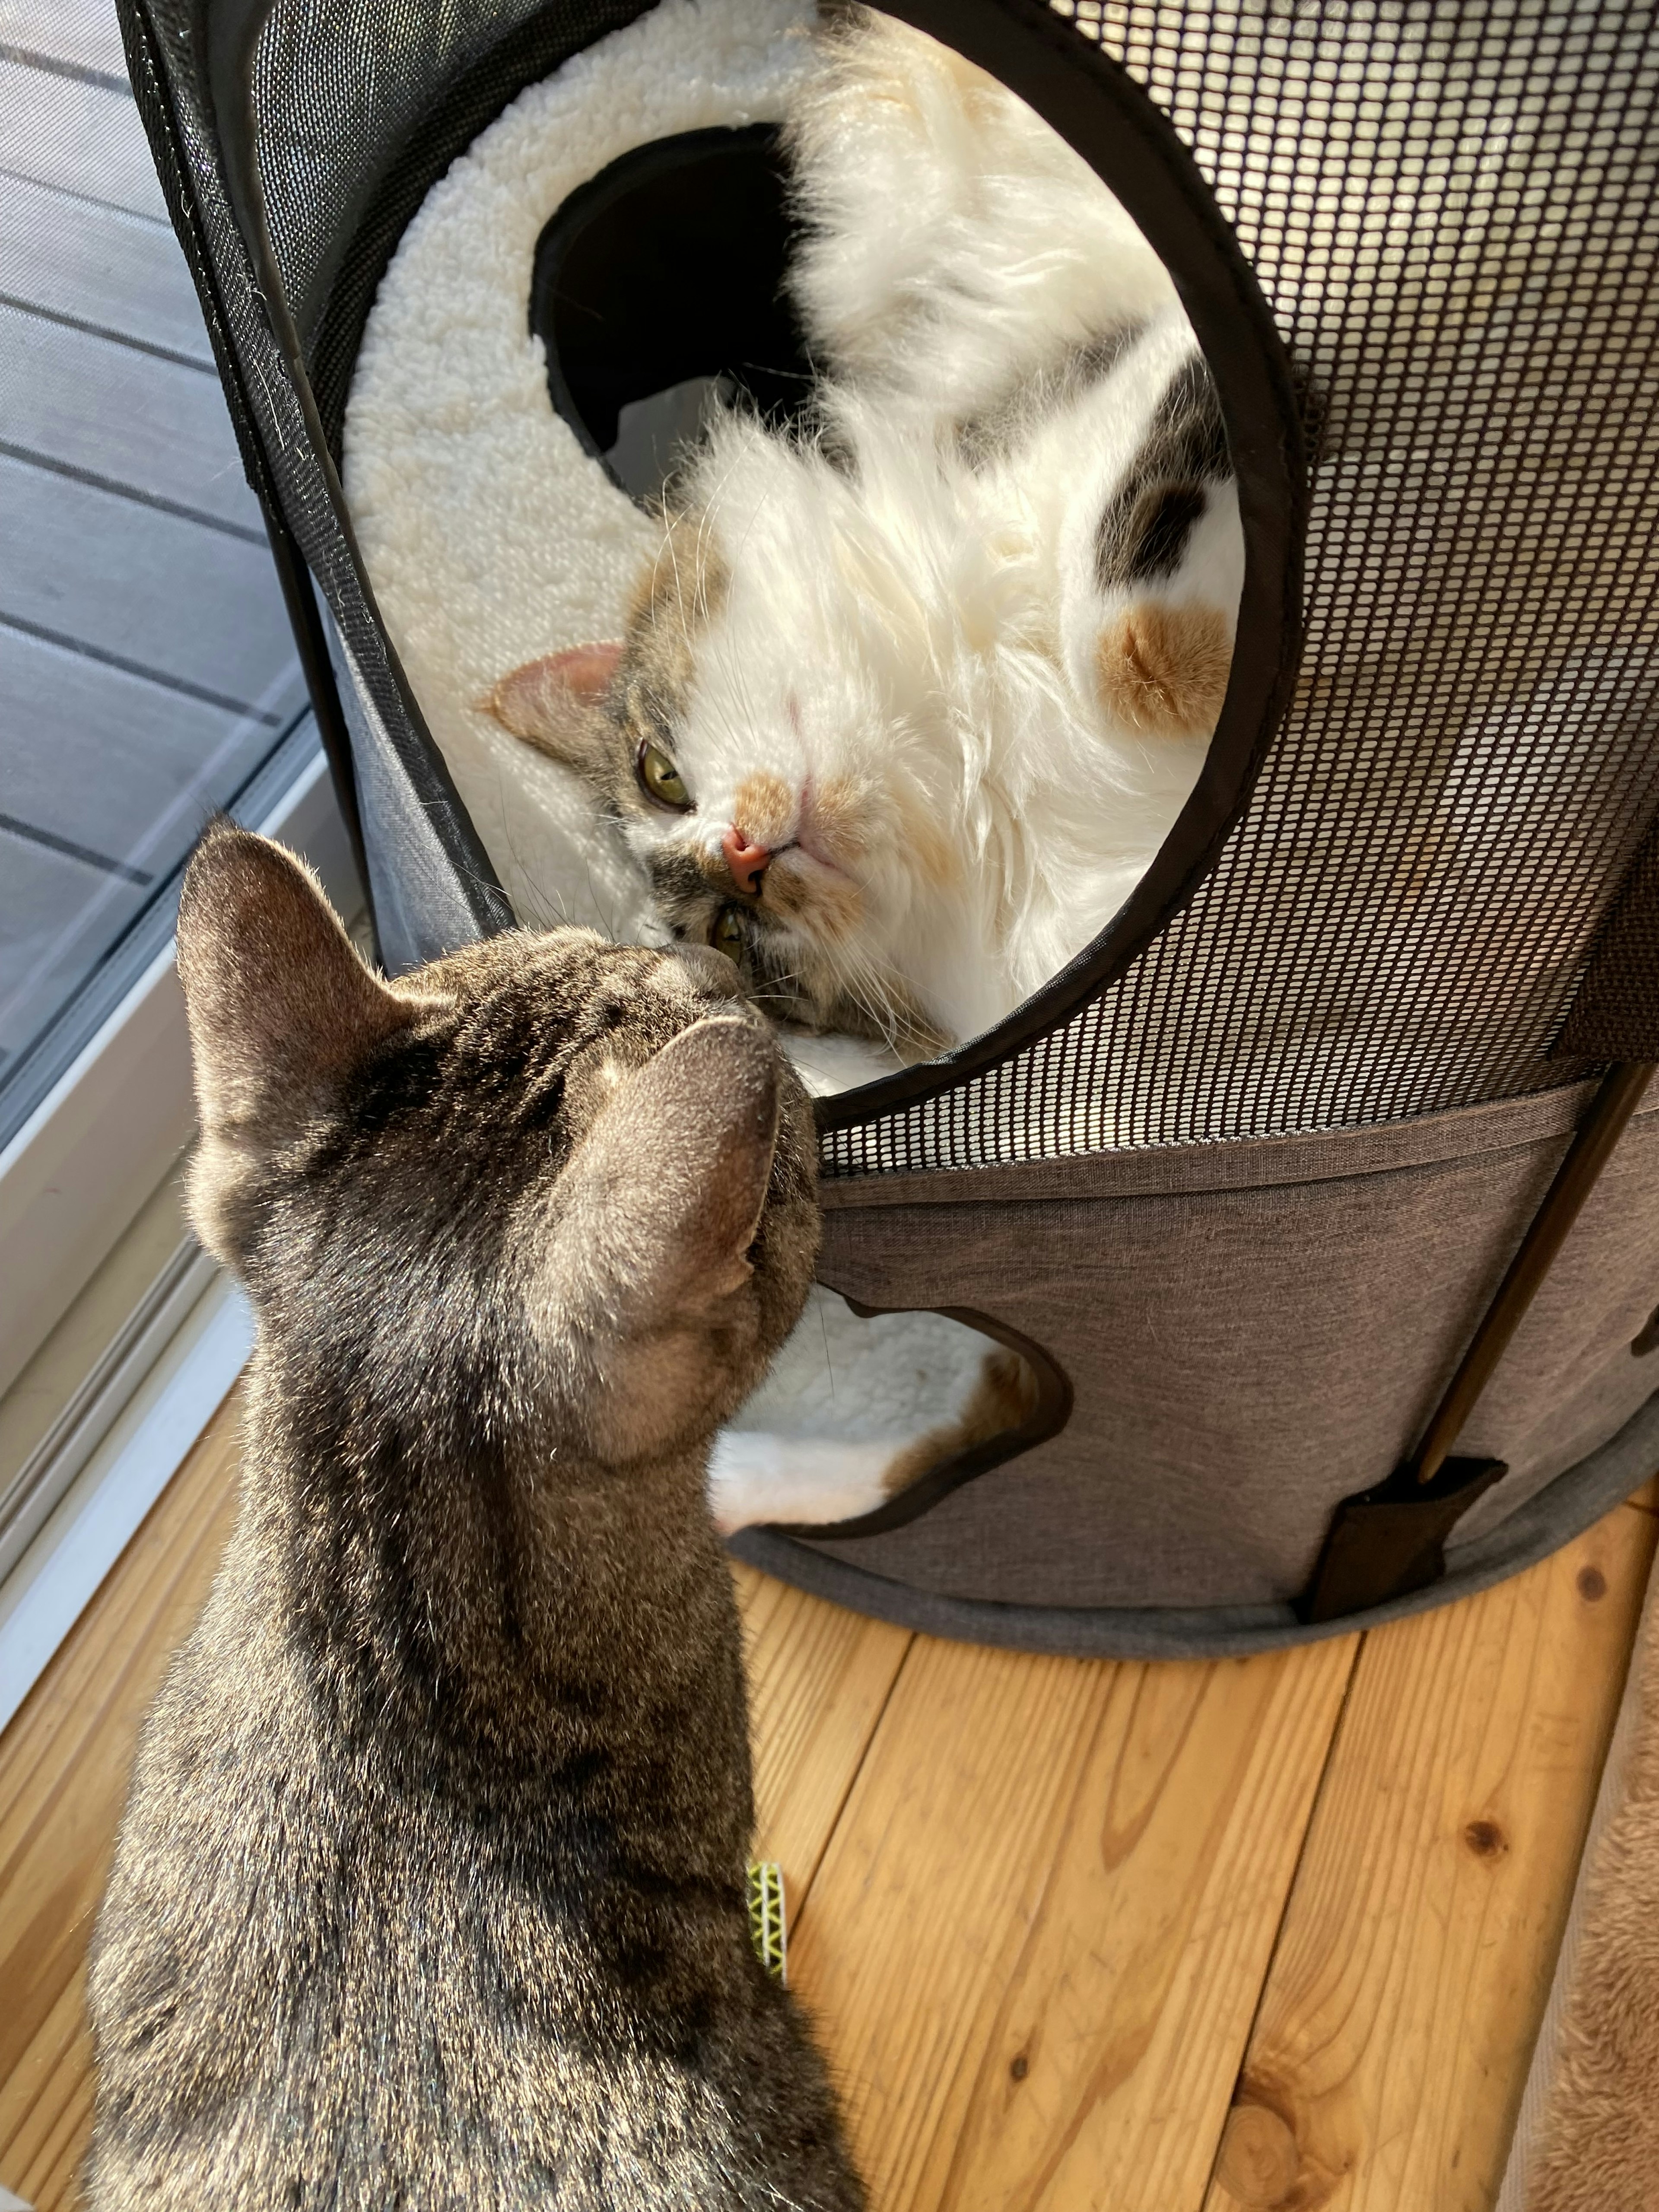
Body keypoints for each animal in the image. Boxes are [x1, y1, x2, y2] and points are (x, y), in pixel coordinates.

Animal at [486, 9, 1239, 1057]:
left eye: (661, 776)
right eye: (731, 932)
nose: (744, 858)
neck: (985, 742)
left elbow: (1130, 647)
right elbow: (1145, 657)